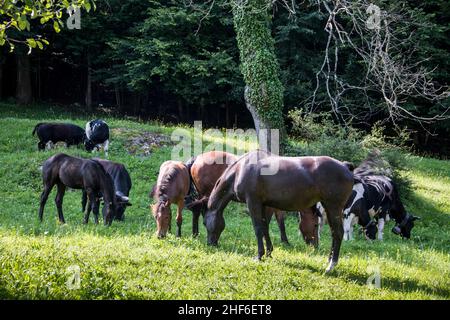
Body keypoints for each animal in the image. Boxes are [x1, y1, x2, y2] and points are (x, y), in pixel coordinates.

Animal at [204, 150, 356, 272]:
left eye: (204, 223)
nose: (211, 244)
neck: (240, 169)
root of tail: (345, 166)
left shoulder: (253, 203)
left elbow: (258, 229)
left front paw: (259, 255)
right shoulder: (264, 205)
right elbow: (265, 228)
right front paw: (269, 253)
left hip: (333, 207)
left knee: (338, 233)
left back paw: (331, 265)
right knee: (334, 233)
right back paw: (329, 261)